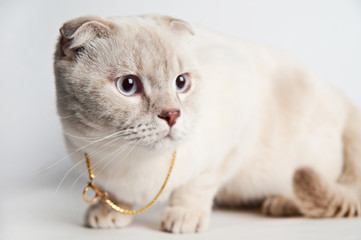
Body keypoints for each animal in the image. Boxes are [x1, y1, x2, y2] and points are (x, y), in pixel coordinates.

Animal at [54, 14, 360, 232]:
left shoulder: (233, 140)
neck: (130, 160)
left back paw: (278, 203)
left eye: (181, 82)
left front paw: (184, 216)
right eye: (128, 86)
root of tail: (340, 94)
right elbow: (113, 193)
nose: (172, 115)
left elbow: (197, 186)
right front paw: (109, 211)